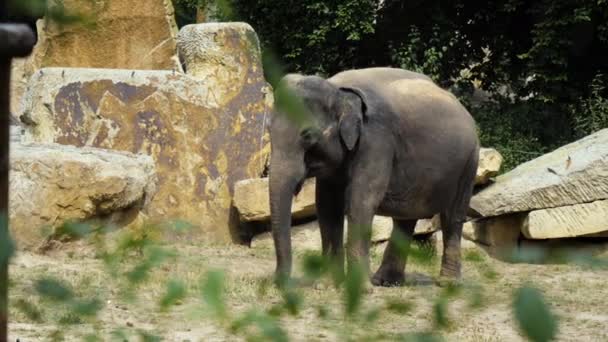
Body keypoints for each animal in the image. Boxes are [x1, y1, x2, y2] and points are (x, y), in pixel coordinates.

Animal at [268, 67, 478, 286]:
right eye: (269, 131)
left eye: (307, 135)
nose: (279, 282)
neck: (336, 89)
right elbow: (327, 206)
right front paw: (326, 285)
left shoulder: (377, 141)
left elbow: (361, 202)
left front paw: (357, 287)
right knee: (405, 219)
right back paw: (386, 281)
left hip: (469, 163)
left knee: (452, 217)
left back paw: (447, 283)